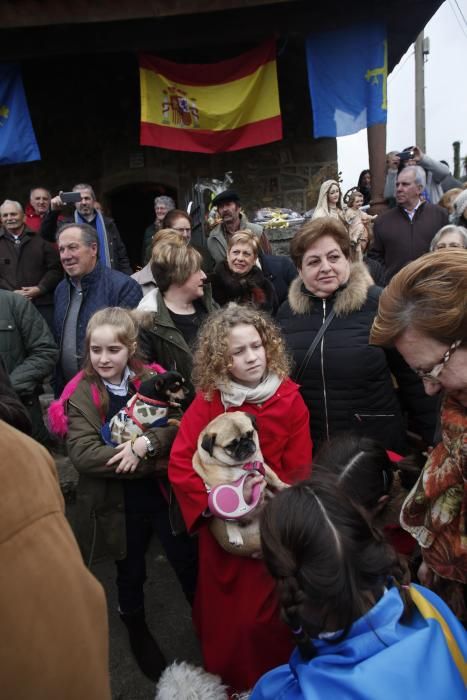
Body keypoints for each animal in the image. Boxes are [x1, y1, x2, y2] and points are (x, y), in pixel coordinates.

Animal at [192, 412, 288, 556]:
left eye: (250, 434)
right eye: (231, 445)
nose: (246, 444)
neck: (242, 465)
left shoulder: (263, 468)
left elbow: (275, 479)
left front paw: (286, 487)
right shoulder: (221, 491)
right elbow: (229, 518)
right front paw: (234, 535)